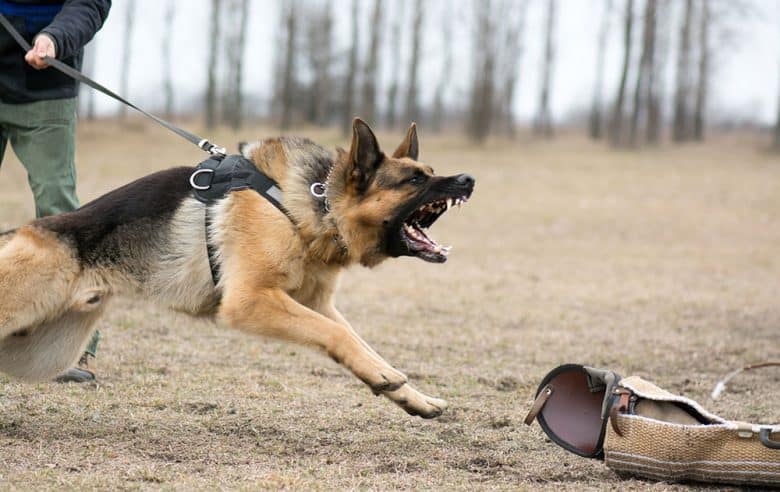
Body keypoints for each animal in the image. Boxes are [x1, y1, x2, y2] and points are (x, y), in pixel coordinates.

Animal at [0, 119, 476, 418]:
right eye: (414, 180)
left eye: (430, 171)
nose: (468, 179)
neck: (316, 202)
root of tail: (23, 230)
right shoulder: (251, 301)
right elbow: (341, 336)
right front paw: (387, 377)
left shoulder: (316, 304)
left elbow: (360, 343)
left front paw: (412, 396)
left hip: (45, 349)